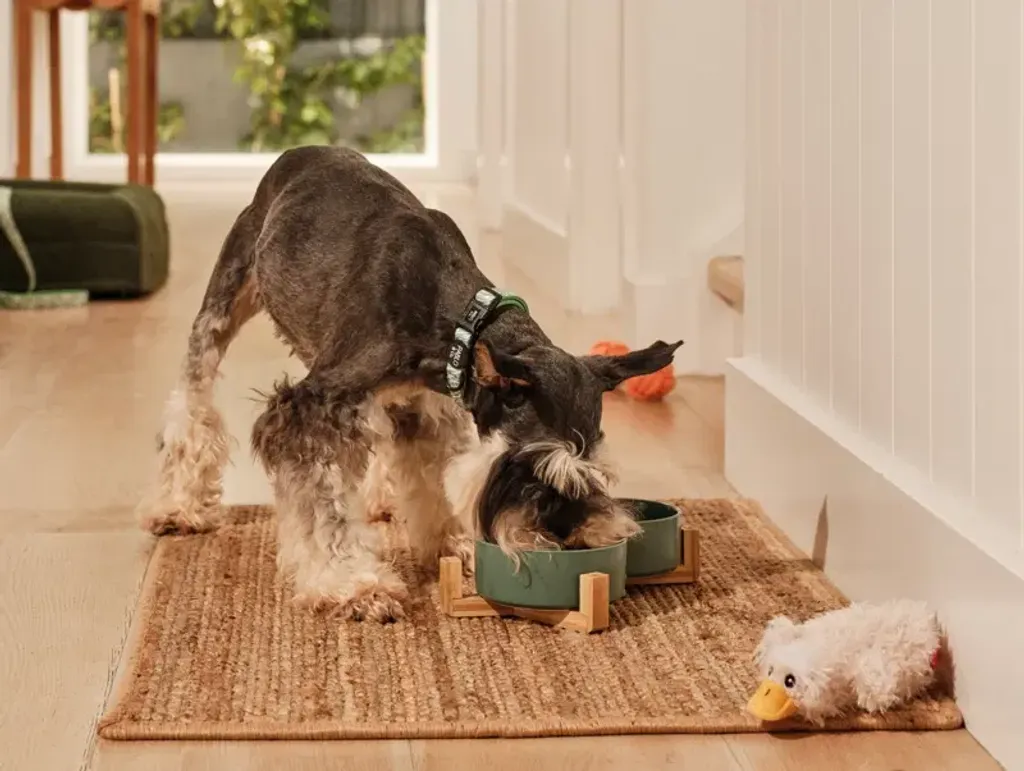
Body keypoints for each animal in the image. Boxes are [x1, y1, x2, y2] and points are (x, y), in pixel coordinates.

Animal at [136, 147, 679, 622]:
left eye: (596, 474)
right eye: (526, 470)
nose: (570, 538)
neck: (461, 321)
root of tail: (302, 152)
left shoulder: (426, 408)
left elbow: (429, 481)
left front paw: (450, 543)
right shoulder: (309, 409)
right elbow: (324, 508)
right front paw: (353, 585)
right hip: (225, 302)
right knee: (193, 397)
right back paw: (179, 506)